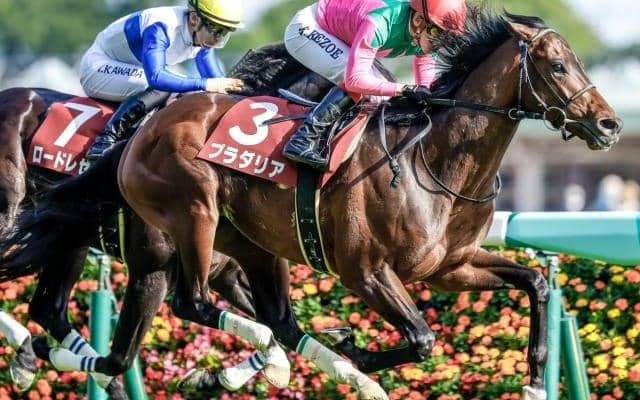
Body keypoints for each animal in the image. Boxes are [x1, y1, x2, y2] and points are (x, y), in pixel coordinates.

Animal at [0, 6, 623, 400]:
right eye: (558, 65)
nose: (610, 125)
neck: (433, 161)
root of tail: (144, 130)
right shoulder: (364, 271)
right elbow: (420, 338)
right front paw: (356, 351)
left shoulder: (449, 266)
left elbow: (535, 282)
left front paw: (535, 378)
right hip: (189, 218)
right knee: (190, 302)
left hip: (241, 244)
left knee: (264, 317)